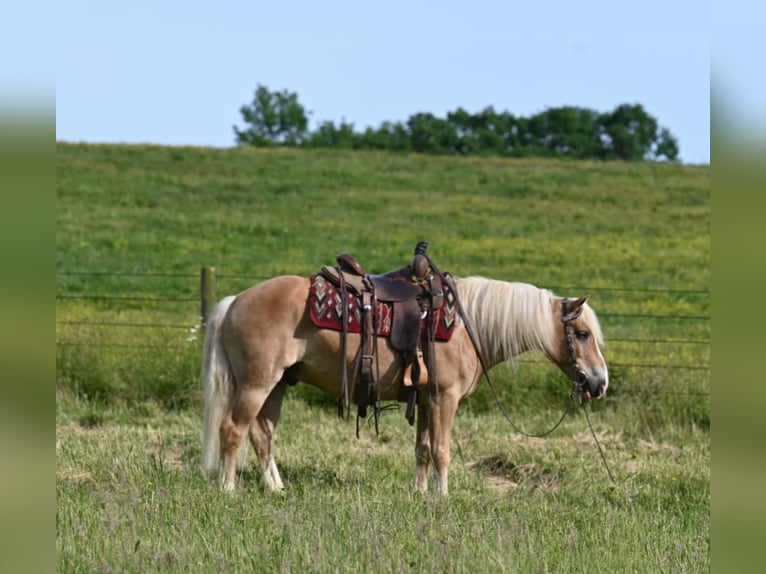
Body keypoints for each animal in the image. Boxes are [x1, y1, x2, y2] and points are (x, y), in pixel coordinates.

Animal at [201, 274, 608, 496]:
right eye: (582, 334)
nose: (599, 382)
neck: (467, 326)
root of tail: (234, 301)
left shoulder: (426, 400)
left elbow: (423, 449)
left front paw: (420, 493)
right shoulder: (445, 398)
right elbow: (442, 450)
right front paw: (443, 497)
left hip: (277, 385)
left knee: (262, 435)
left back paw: (276, 488)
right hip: (256, 384)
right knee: (232, 430)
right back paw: (228, 489)